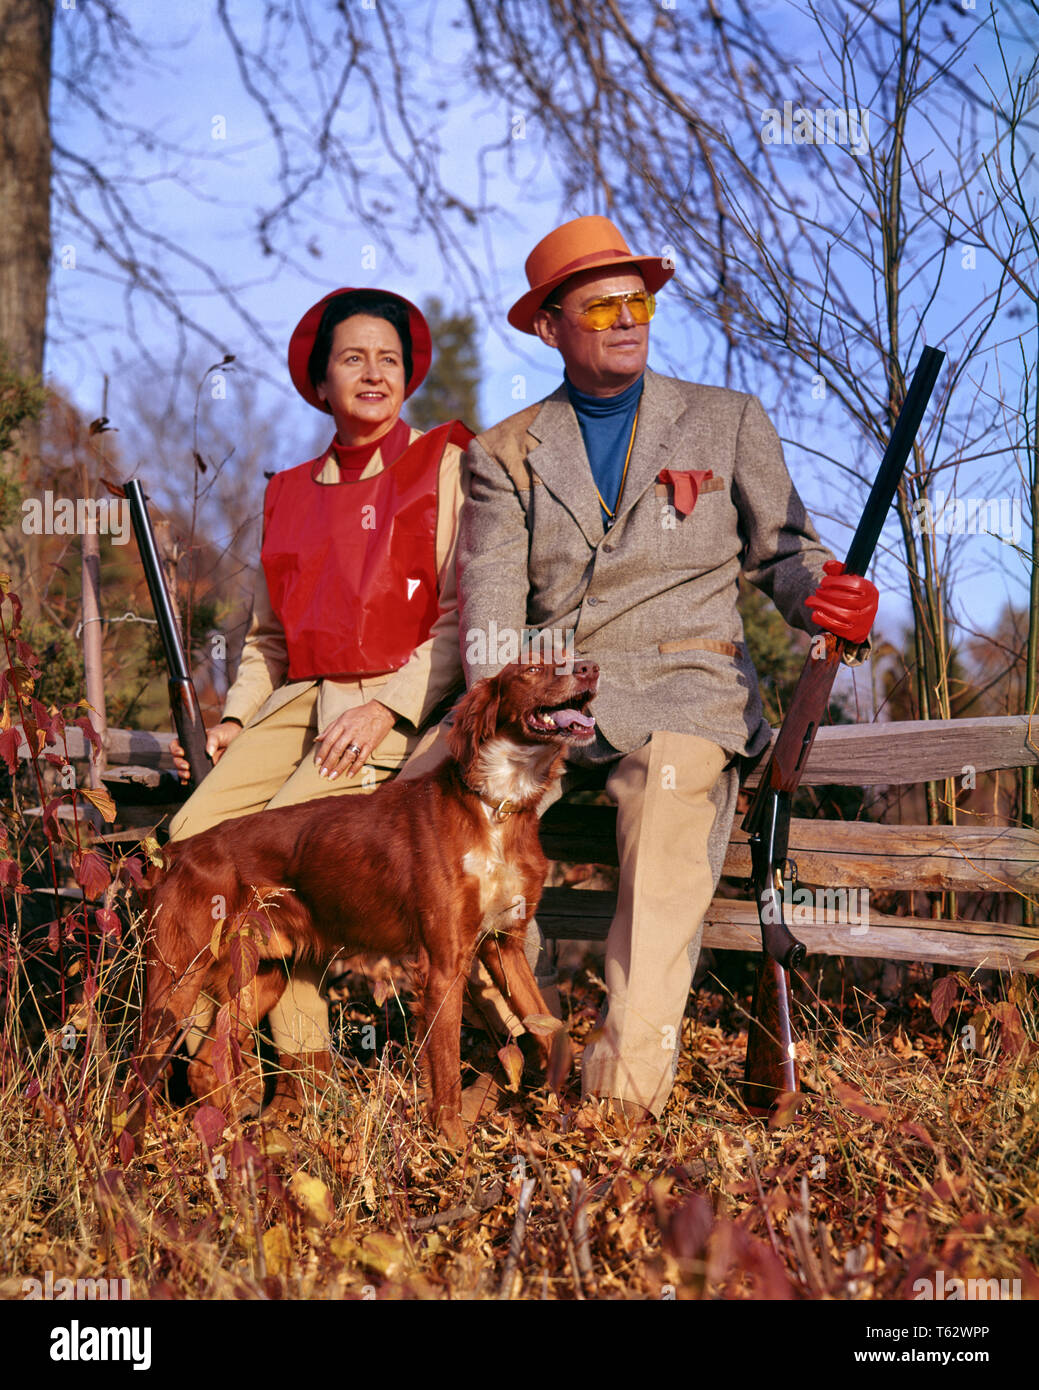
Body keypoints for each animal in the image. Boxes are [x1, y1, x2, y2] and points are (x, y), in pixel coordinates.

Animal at [134, 656, 598, 1145]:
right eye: (532, 669)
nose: (591, 669)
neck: (496, 806)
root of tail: (175, 853)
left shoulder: (503, 944)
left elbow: (552, 1032)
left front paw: (563, 1105)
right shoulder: (444, 962)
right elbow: (447, 1068)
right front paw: (454, 1145)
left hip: (262, 973)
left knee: (207, 1065)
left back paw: (231, 1142)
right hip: (177, 979)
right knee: (138, 1070)